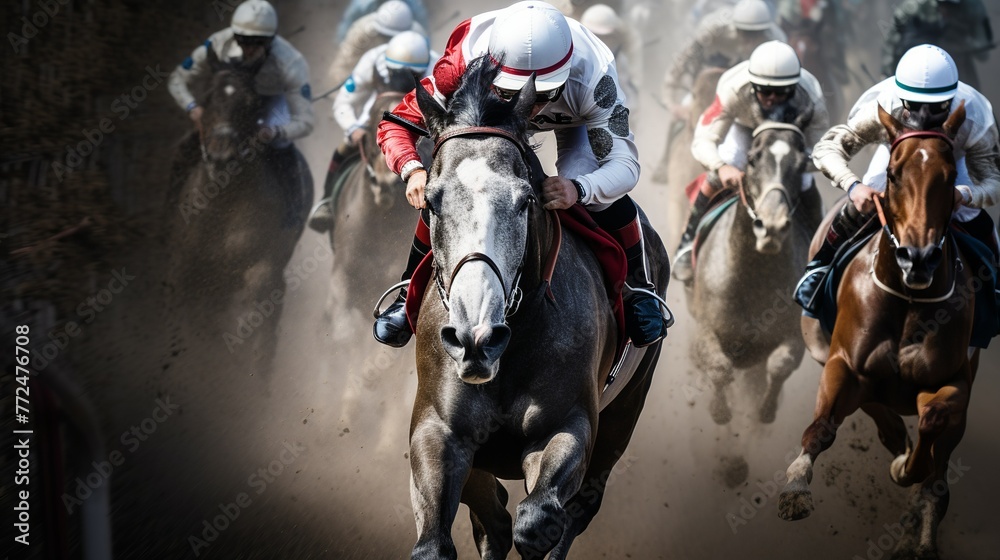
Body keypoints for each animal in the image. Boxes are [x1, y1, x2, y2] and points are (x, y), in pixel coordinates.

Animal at [402, 57, 668, 560]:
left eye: (525, 199)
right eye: (431, 202)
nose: (475, 339)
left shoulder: (569, 426)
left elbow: (537, 521)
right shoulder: (438, 431)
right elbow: (457, 533)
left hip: (626, 410)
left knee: (577, 511)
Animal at [688, 116, 820, 426]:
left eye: (802, 164)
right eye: (752, 159)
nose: (771, 226)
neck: (754, 278)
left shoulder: (792, 334)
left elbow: (780, 364)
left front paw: (766, 410)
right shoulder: (705, 327)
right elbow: (719, 366)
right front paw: (719, 410)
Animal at [780, 101, 976, 560]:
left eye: (950, 175)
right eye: (893, 173)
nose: (918, 257)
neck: (907, 299)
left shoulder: (955, 380)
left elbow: (933, 428)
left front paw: (907, 467)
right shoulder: (843, 364)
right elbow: (821, 427)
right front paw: (795, 487)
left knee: (938, 476)